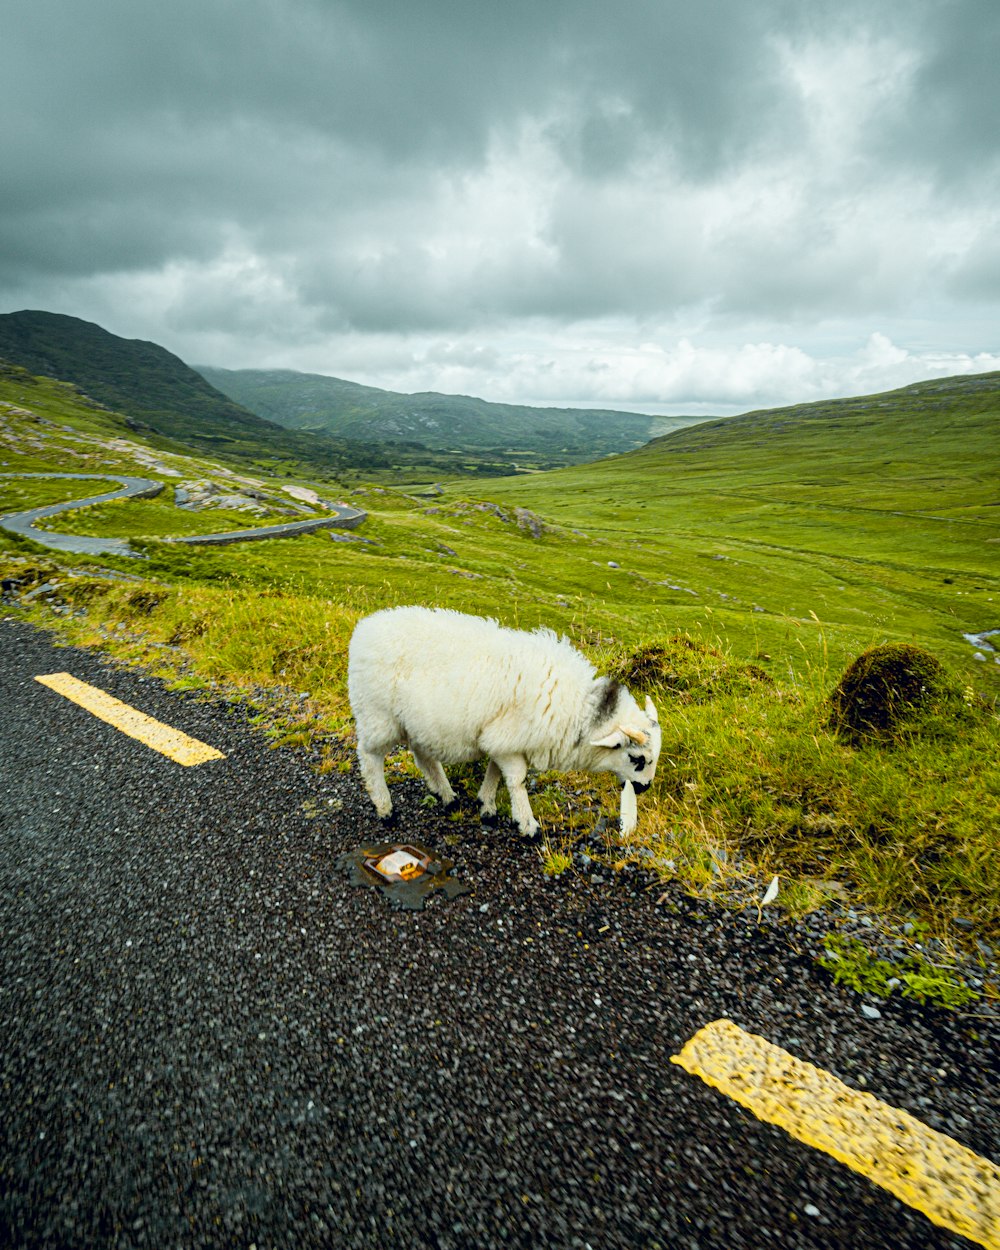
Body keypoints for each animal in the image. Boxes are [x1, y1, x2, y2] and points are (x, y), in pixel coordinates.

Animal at [347, 602, 660, 835]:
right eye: (637, 758)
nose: (643, 789)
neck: (578, 710)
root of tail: (365, 628)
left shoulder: (502, 740)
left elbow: (495, 772)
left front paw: (486, 805)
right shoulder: (508, 740)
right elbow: (517, 780)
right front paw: (528, 825)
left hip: (418, 722)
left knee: (423, 756)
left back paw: (447, 796)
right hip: (377, 714)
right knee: (369, 756)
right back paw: (385, 808)